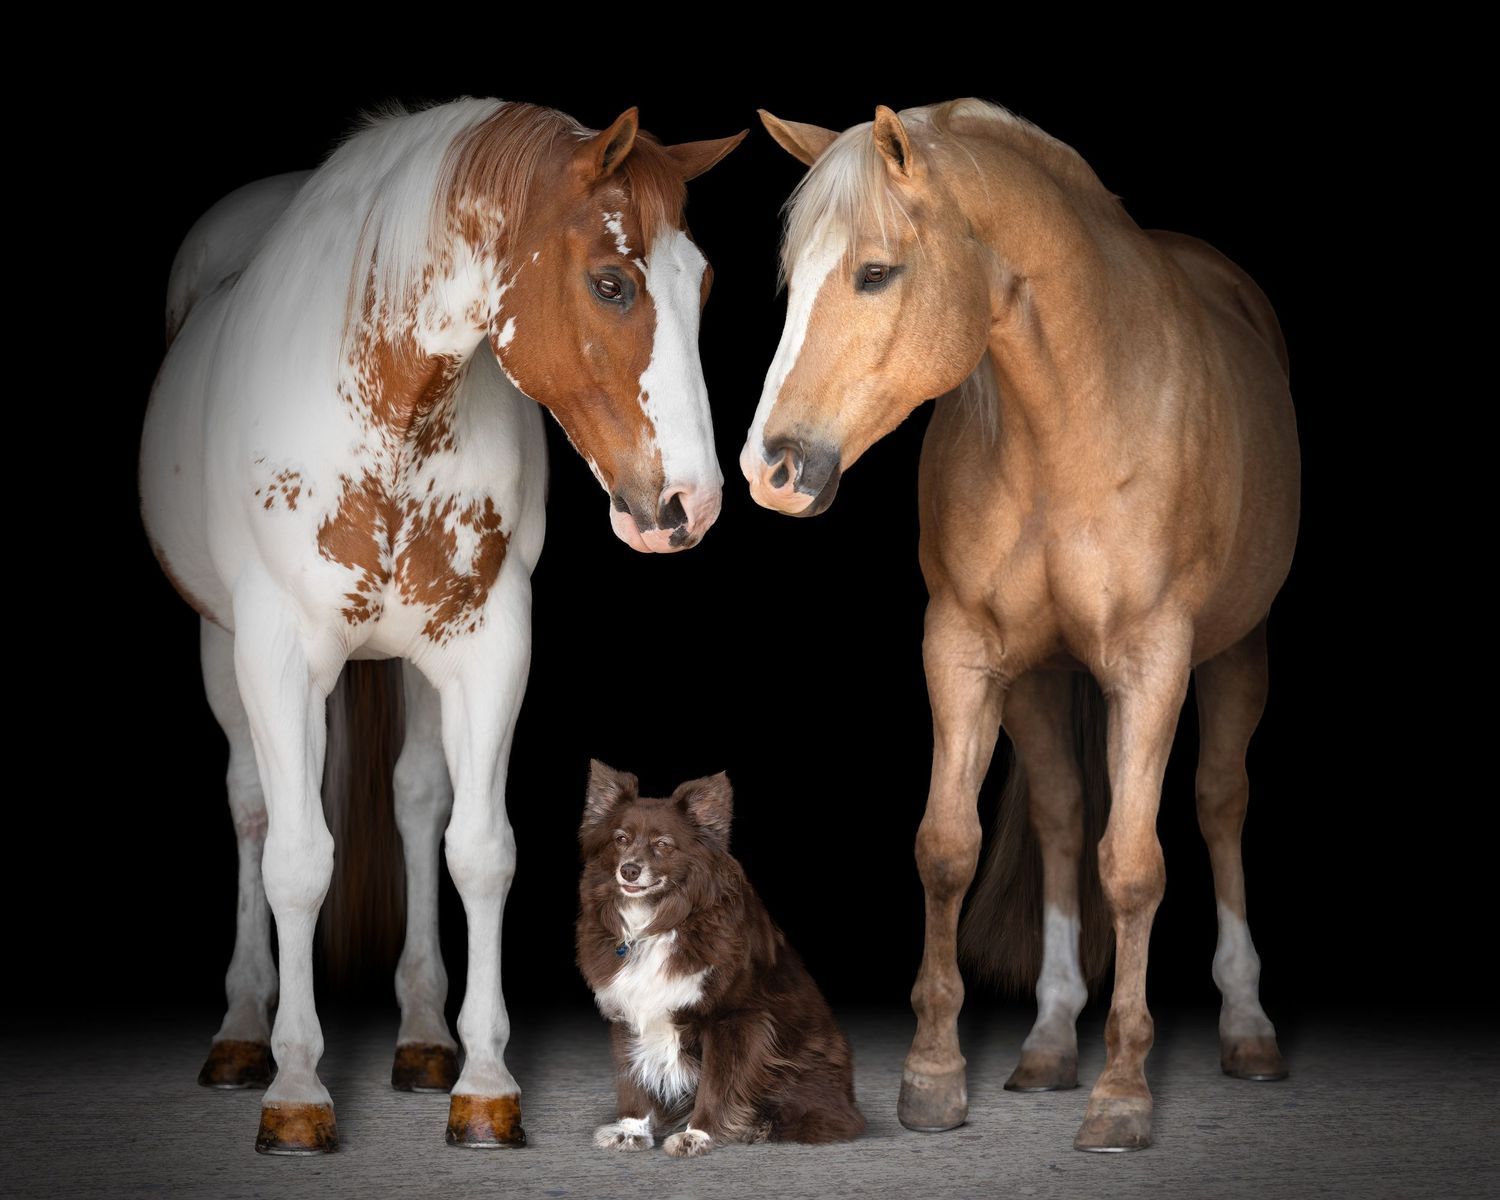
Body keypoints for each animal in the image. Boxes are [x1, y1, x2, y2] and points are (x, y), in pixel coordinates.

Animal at [140, 98, 744, 1154]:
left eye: (700, 283)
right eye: (613, 282)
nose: (689, 505)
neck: (387, 407)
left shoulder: (488, 647)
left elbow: (480, 851)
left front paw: (486, 1083)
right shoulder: (278, 655)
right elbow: (297, 860)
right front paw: (296, 1091)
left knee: (417, 804)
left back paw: (423, 1037)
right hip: (224, 651)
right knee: (252, 808)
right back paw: (243, 1030)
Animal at [743, 99, 1299, 1152]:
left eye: (876, 272)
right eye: (788, 284)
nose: (772, 469)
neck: (1074, 417)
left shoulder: (1153, 663)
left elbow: (1134, 866)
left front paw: (1122, 1093)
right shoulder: (965, 652)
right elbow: (947, 847)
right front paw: (933, 1076)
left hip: (1237, 655)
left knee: (1219, 805)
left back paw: (1248, 1029)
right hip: (1043, 683)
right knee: (1061, 815)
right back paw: (1045, 1042)